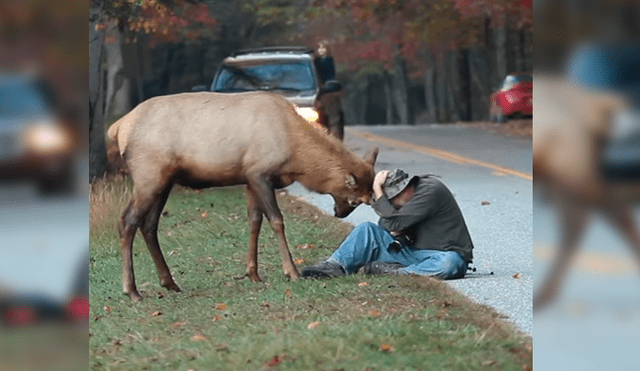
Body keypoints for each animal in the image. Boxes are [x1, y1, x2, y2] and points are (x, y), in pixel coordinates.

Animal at [109, 91, 380, 302]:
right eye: (355, 199)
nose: (339, 213)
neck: (296, 156)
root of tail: (118, 128)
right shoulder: (260, 172)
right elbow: (276, 220)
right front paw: (291, 271)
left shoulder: (249, 177)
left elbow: (254, 221)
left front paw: (253, 273)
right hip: (148, 175)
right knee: (127, 221)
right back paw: (132, 290)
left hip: (163, 181)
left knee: (149, 224)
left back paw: (170, 283)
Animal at [528, 74, 640, 310]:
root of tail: (595, 102)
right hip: (565, 174)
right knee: (579, 223)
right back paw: (546, 294)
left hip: (572, 167)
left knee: (607, 215)